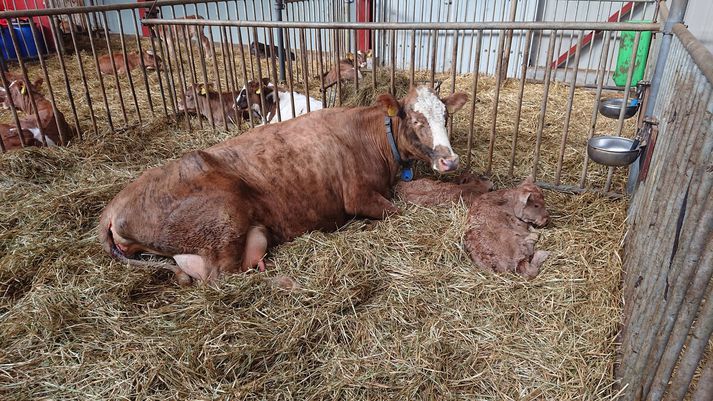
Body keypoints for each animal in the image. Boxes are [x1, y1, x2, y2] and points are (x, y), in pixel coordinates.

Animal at [100, 85, 468, 284]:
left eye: (445, 115)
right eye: (416, 120)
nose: (450, 160)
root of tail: (112, 208)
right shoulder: (359, 196)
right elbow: (398, 212)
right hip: (224, 224)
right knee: (222, 277)